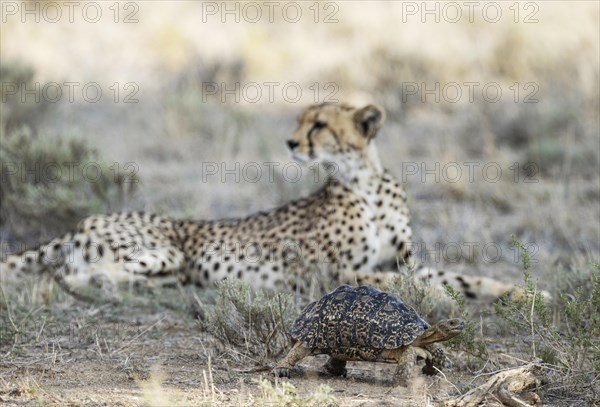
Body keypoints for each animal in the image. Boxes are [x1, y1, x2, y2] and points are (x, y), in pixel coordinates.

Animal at [0, 103, 524, 300]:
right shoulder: (330, 273)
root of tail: (80, 222)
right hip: (163, 250)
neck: (366, 182)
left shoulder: (404, 261)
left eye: (319, 124)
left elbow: (463, 276)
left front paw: (521, 292)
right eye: (301, 121)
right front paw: (439, 298)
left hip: (168, 265)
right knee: (64, 275)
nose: (290, 143)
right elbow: (396, 282)